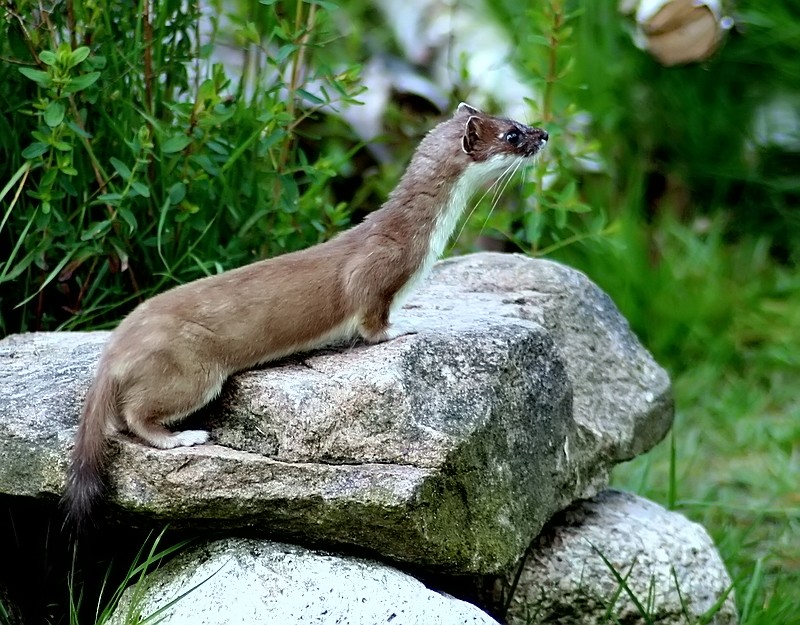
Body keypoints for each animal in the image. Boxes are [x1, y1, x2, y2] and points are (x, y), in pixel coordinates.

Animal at [65, 102, 548, 520]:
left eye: (517, 119)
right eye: (512, 133)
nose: (544, 134)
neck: (424, 244)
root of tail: (117, 345)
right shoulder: (375, 270)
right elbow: (372, 320)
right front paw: (403, 329)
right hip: (192, 369)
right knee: (135, 415)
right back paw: (184, 436)